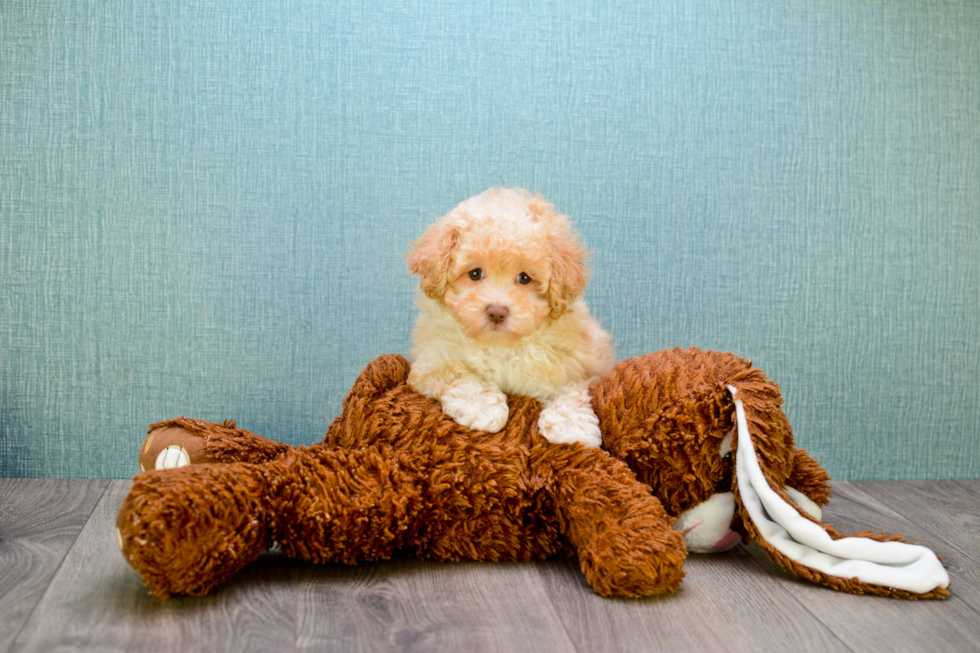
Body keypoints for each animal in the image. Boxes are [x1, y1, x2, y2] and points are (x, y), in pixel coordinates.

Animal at [406, 186, 612, 446]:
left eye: (524, 278)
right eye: (475, 274)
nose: (497, 311)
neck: (500, 346)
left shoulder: (576, 367)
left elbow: (570, 390)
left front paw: (571, 425)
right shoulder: (431, 362)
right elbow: (459, 375)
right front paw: (482, 407)